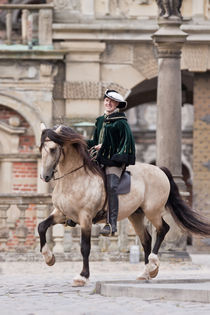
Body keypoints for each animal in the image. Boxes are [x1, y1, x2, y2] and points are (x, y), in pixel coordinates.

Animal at [38, 124, 210, 288]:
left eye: (53, 149)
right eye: (41, 149)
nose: (45, 176)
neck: (74, 178)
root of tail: (159, 169)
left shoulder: (85, 218)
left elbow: (85, 247)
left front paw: (82, 277)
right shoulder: (61, 213)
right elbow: (41, 226)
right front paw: (49, 258)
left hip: (152, 211)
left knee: (163, 229)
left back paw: (153, 264)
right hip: (136, 215)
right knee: (146, 239)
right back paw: (146, 273)